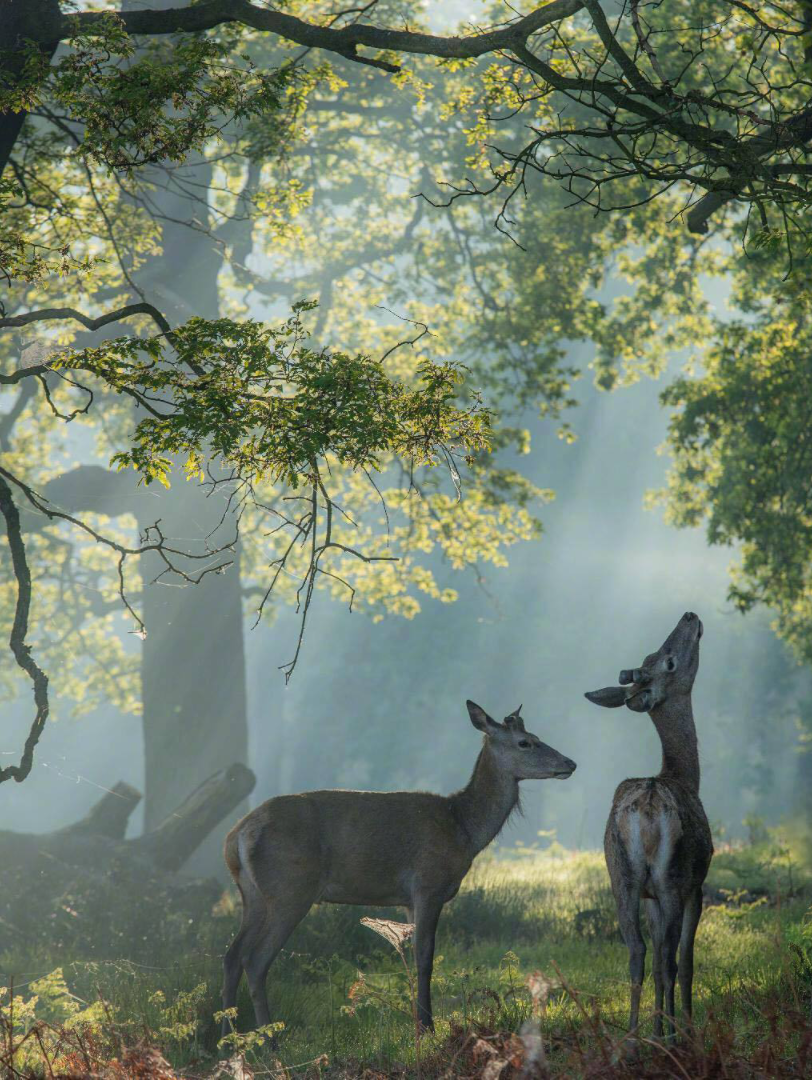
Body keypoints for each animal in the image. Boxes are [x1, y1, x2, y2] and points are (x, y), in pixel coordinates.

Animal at [221, 700, 576, 1038]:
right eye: (525, 742)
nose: (570, 763)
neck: (463, 828)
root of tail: (236, 835)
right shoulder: (428, 885)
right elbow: (425, 958)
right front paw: (427, 1027)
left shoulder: (408, 899)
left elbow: (412, 957)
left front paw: (419, 1024)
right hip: (290, 890)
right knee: (255, 960)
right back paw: (269, 1041)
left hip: (252, 894)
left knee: (232, 954)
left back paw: (229, 1036)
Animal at [584, 611, 712, 1042]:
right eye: (668, 663)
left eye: (652, 657)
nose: (690, 616)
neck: (684, 777)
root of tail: (648, 805)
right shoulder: (695, 886)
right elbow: (683, 961)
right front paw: (683, 1027)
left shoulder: (650, 896)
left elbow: (657, 960)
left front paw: (661, 1026)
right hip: (672, 874)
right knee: (671, 956)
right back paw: (667, 1036)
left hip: (620, 874)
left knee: (638, 951)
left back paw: (634, 1037)